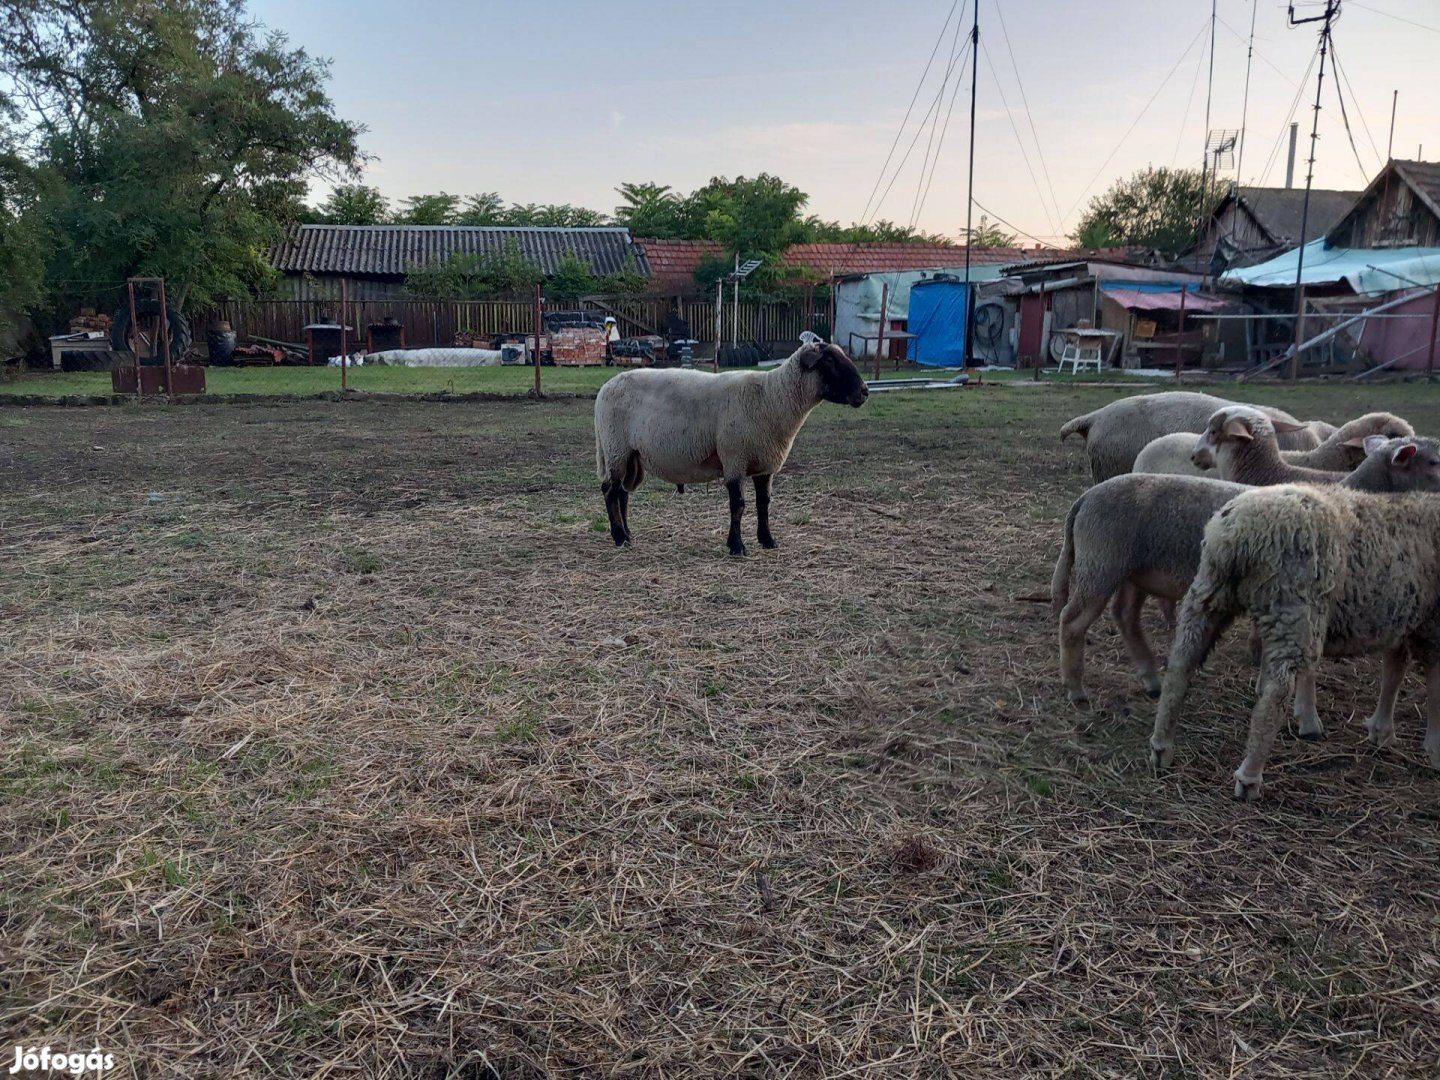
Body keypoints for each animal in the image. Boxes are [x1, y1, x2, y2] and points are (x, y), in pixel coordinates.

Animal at [587, 342, 864, 552]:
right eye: (829, 361)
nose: (864, 391)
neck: (772, 397)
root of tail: (605, 387)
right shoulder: (734, 459)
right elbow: (738, 505)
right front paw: (737, 546)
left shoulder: (764, 464)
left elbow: (763, 503)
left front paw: (767, 540)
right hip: (615, 447)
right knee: (609, 491)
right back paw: (619, 537)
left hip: (630, 455)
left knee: (622, 493)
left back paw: (627, 534)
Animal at [1152, 434, 1440, 800]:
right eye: (1434, 462)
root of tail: (1238, 532)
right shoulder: (1428, 619)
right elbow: (1433, 681)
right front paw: (1434, 748)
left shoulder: (1401, 614)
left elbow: (1393, 670)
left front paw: (1380, 730)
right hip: (1294, 607)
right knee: (1277, 689)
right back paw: (1249, 777)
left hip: (1211, 594)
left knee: (1180, 664)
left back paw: (1161, 746)